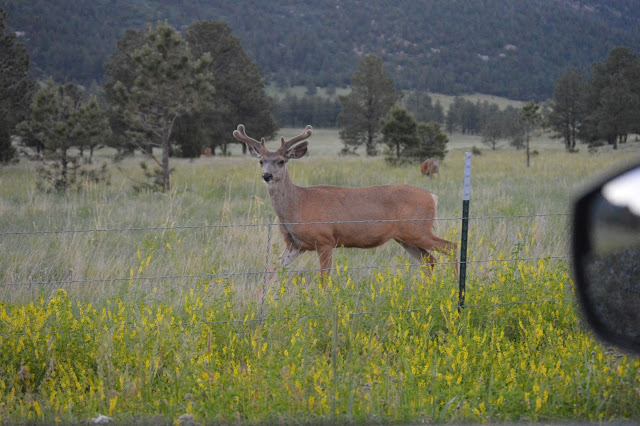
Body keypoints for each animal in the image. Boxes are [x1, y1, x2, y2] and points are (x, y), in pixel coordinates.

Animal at [232, 124, 458, 282]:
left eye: (281, 161)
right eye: (261, 161)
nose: (267, 175)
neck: (297, 207)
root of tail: (432, 196)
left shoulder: (325, 239)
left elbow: (324, 278)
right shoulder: (295, 244)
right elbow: (271, 272)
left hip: (418, 229)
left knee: (451, 246)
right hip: (406, 237)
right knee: (430, 261)